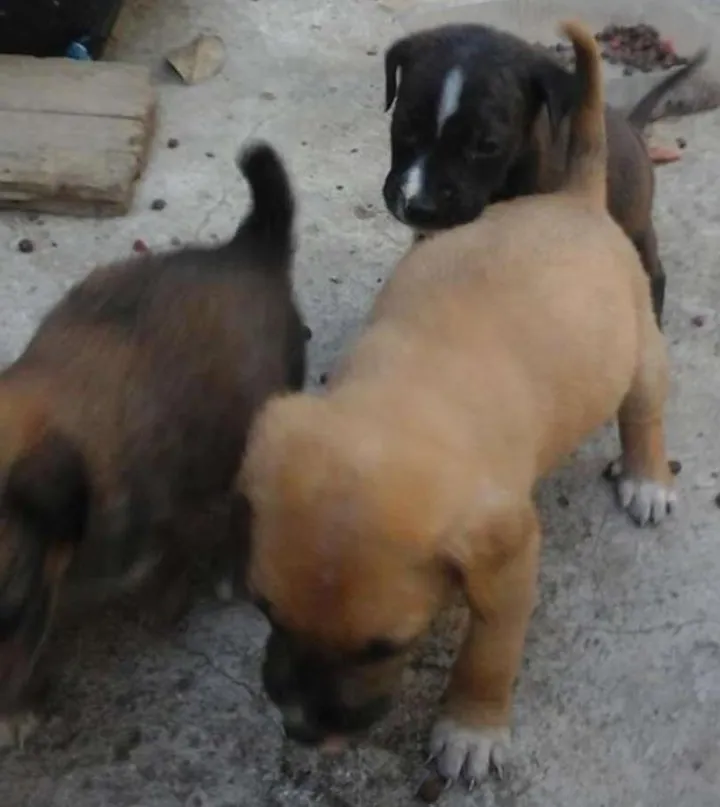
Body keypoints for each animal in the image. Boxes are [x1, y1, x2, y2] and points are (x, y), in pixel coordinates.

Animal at [382, 22, 707, 327]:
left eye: (487, 145)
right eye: (405, 125)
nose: (419, 206)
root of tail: (632, 127)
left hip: (634, 221)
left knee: (653, 272)